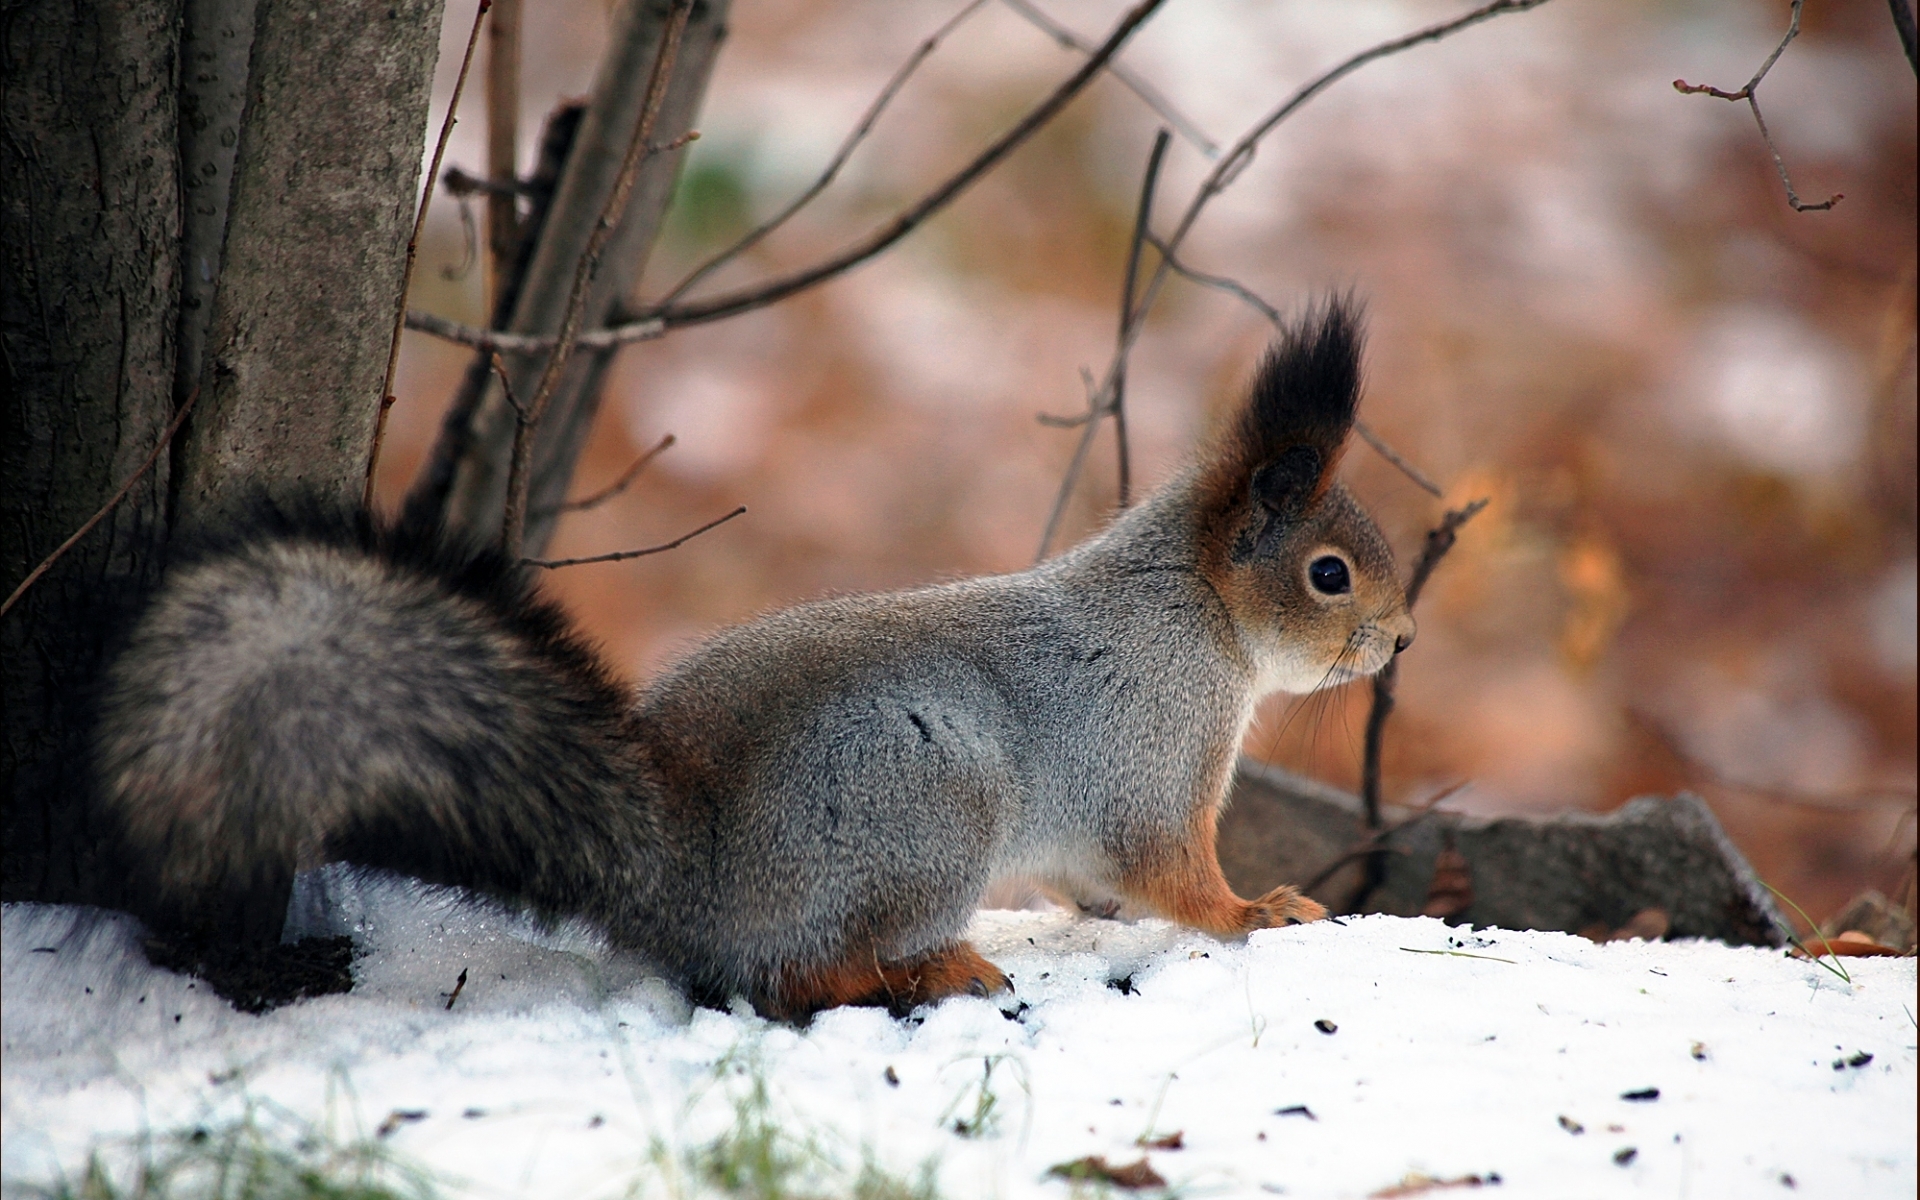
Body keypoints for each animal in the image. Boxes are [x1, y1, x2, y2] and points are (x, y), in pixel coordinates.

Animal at [90, 295, 1413, 1013]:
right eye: (1328, 574)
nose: (1400, 637)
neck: (1192, 610)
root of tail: (688, 871)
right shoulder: (1153, 752)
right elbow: (1172, 875)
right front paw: (1260, 911)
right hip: (931, 806)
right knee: (800, 979)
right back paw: (930, 974)